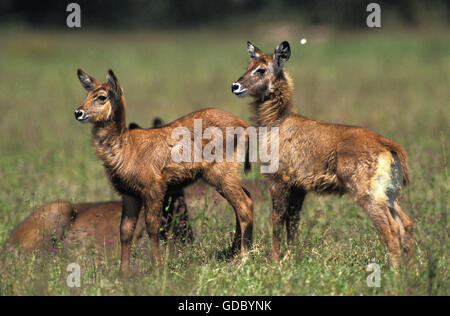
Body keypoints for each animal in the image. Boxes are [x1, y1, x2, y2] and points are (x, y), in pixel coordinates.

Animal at [75, 68, 255, 274]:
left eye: (101, 96)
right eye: (87, 94)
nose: (78, 112)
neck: (126, 147)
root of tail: (243, 124)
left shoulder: (154, 189)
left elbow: (153, 226)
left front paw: (158, 268)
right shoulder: (129, 194)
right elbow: (125, 231)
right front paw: (123, 274)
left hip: (221, 174)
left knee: (244, 205)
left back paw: (242, 259)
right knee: (245, 200)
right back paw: (235, 252)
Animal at [232, 40, 414, 266]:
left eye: (261, 69)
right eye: (248, 66)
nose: (235, 86)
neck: (277, 122)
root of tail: (388, 144)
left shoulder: (279, 180)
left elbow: (277, 219)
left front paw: (275, 260)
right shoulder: (299, 187)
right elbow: (293, 222)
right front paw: (290, 258)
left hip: (368, 194)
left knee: (390, 228)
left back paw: (395, 270)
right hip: (389, 193)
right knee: (406, 224)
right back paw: (413, 269)